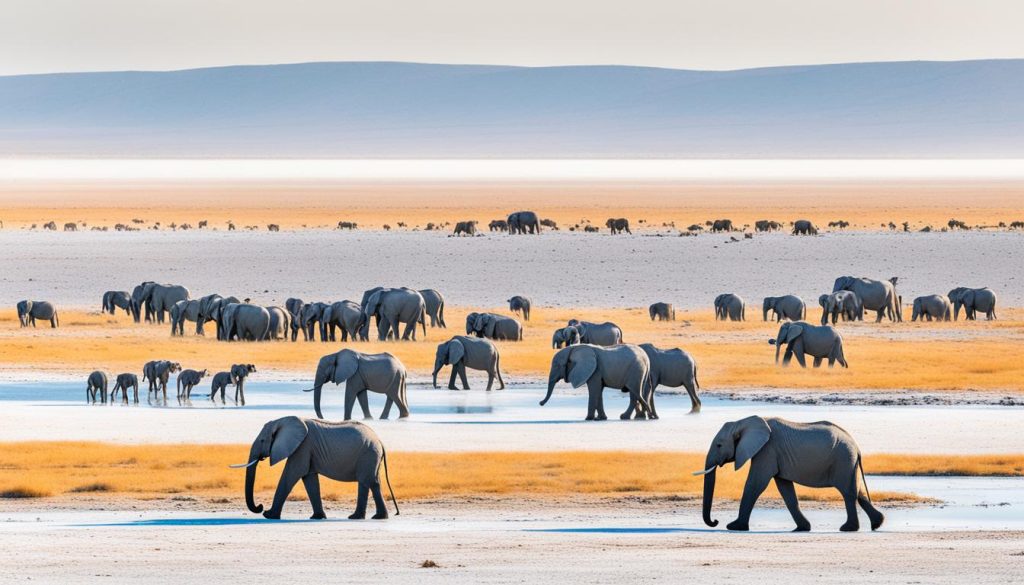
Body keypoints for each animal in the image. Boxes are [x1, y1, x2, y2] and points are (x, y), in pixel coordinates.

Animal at [237, 415, 397, 522]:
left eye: (262, 440)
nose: (260, 507)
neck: (283, 420)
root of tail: (380, 441)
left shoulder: (303, 447)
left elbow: (292, 473)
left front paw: (269, 516)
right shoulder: (306, 450)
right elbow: (309, 479)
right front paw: (317, 517)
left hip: (368, 454)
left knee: (370, 482)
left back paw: (375, 517)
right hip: (369, 456)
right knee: (368, 482)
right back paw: (358, 517)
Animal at [696, 413, 888, 532]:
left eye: (719, 445)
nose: (715, 522)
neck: (744, 421)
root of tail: (857, 447)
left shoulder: (767, 450)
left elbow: (756, 484)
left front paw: (734, 526)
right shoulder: (774, 454)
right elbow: (785, 489)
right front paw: (802, 528)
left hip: (843, 460)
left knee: (848, 492)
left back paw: (847, 528)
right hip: (848, 462)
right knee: (859, 492)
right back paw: (877, 524)